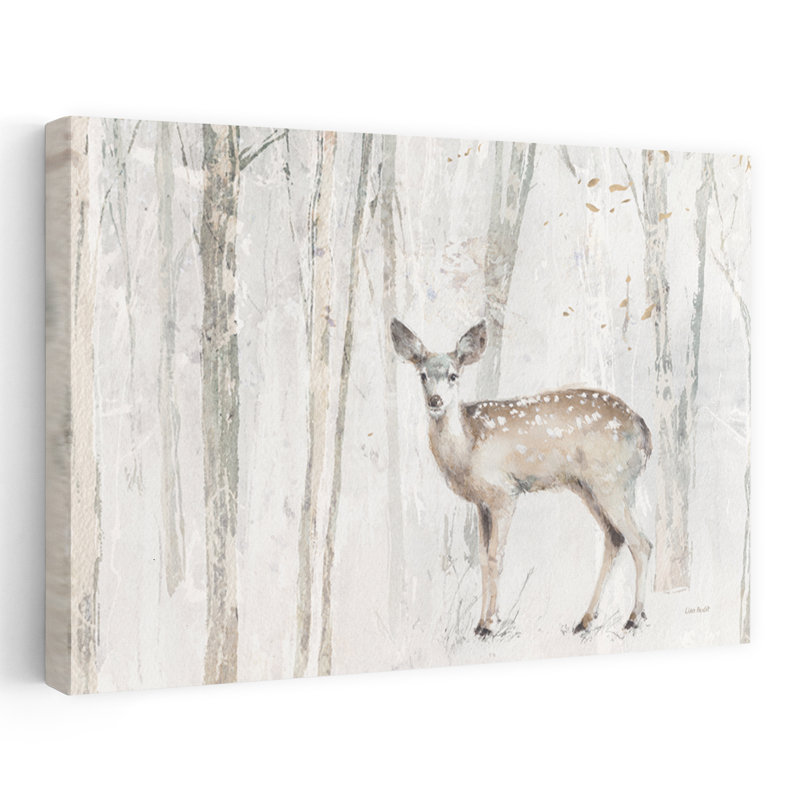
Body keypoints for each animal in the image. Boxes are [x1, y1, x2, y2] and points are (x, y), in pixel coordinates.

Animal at [390, 318, 653, 638]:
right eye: (422, 375)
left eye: (453, 375)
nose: (435, 400)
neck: (467, 446)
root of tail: (645, 431)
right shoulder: (482, 503)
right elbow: (482, 558)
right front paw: (480, 623)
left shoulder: (504, 492)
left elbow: (496, 556)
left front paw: (490, 624)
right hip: (587, 486)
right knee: (615, 538)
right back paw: (585, 620)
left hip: (612, 480)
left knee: (641, 543)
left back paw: (633, 618)